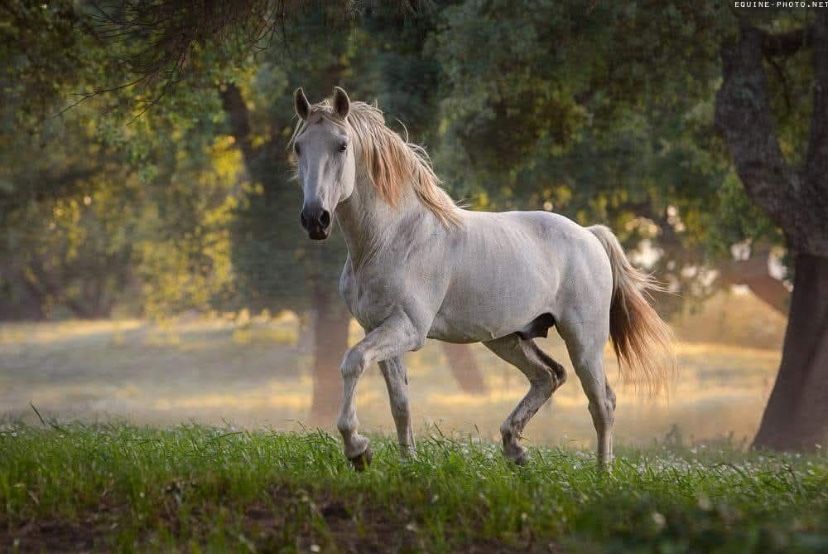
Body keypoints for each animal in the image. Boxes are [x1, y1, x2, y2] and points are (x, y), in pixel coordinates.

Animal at [289, 86, 674, 470]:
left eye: (342, 145)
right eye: (299, 147)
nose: (314, 219)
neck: (393, 237)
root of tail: (590, 235)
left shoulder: (408, 328)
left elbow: (352, 362)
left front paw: (357, 449)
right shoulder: (378, 327)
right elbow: (400, 402)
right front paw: (406, 463)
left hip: (584, 339)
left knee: (602, 403)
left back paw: (601, 473)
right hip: (508, 337)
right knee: (548, 376)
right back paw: (514, 448)